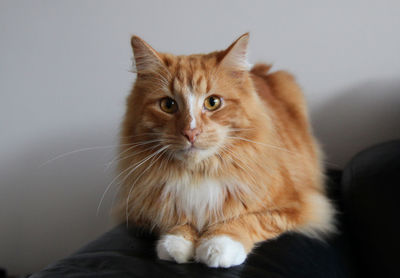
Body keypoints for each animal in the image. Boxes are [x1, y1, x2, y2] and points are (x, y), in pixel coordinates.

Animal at [115, 33, 334, 270]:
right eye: (168, 105)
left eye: (212, 102)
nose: (191, 132)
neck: (198, 174)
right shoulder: (142, 207)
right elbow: (174, 218)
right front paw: (177, 242)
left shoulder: (296, 204)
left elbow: (248, 220)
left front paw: (218, 245)